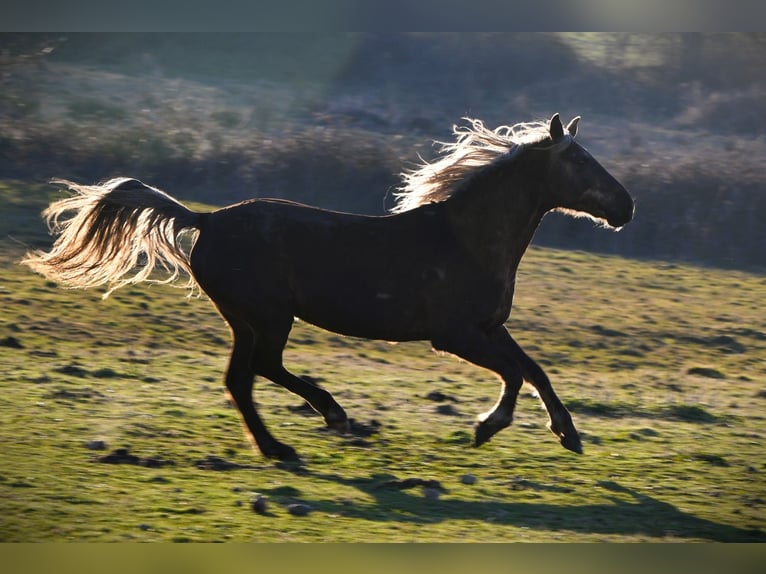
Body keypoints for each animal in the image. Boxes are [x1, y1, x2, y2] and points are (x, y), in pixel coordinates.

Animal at [23, 113, 634, 462]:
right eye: (580, 159)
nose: (627, 206)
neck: (468, 239)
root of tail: (206, 219)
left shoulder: (488, 327)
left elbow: (534, 369)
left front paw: (569, 435)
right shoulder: (455, 334)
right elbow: (513, 374)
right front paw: (487, 428)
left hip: (246, 319)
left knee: (240, 379)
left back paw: (279, 446)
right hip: (269, 316)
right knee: (262, 369)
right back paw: (331, 416)